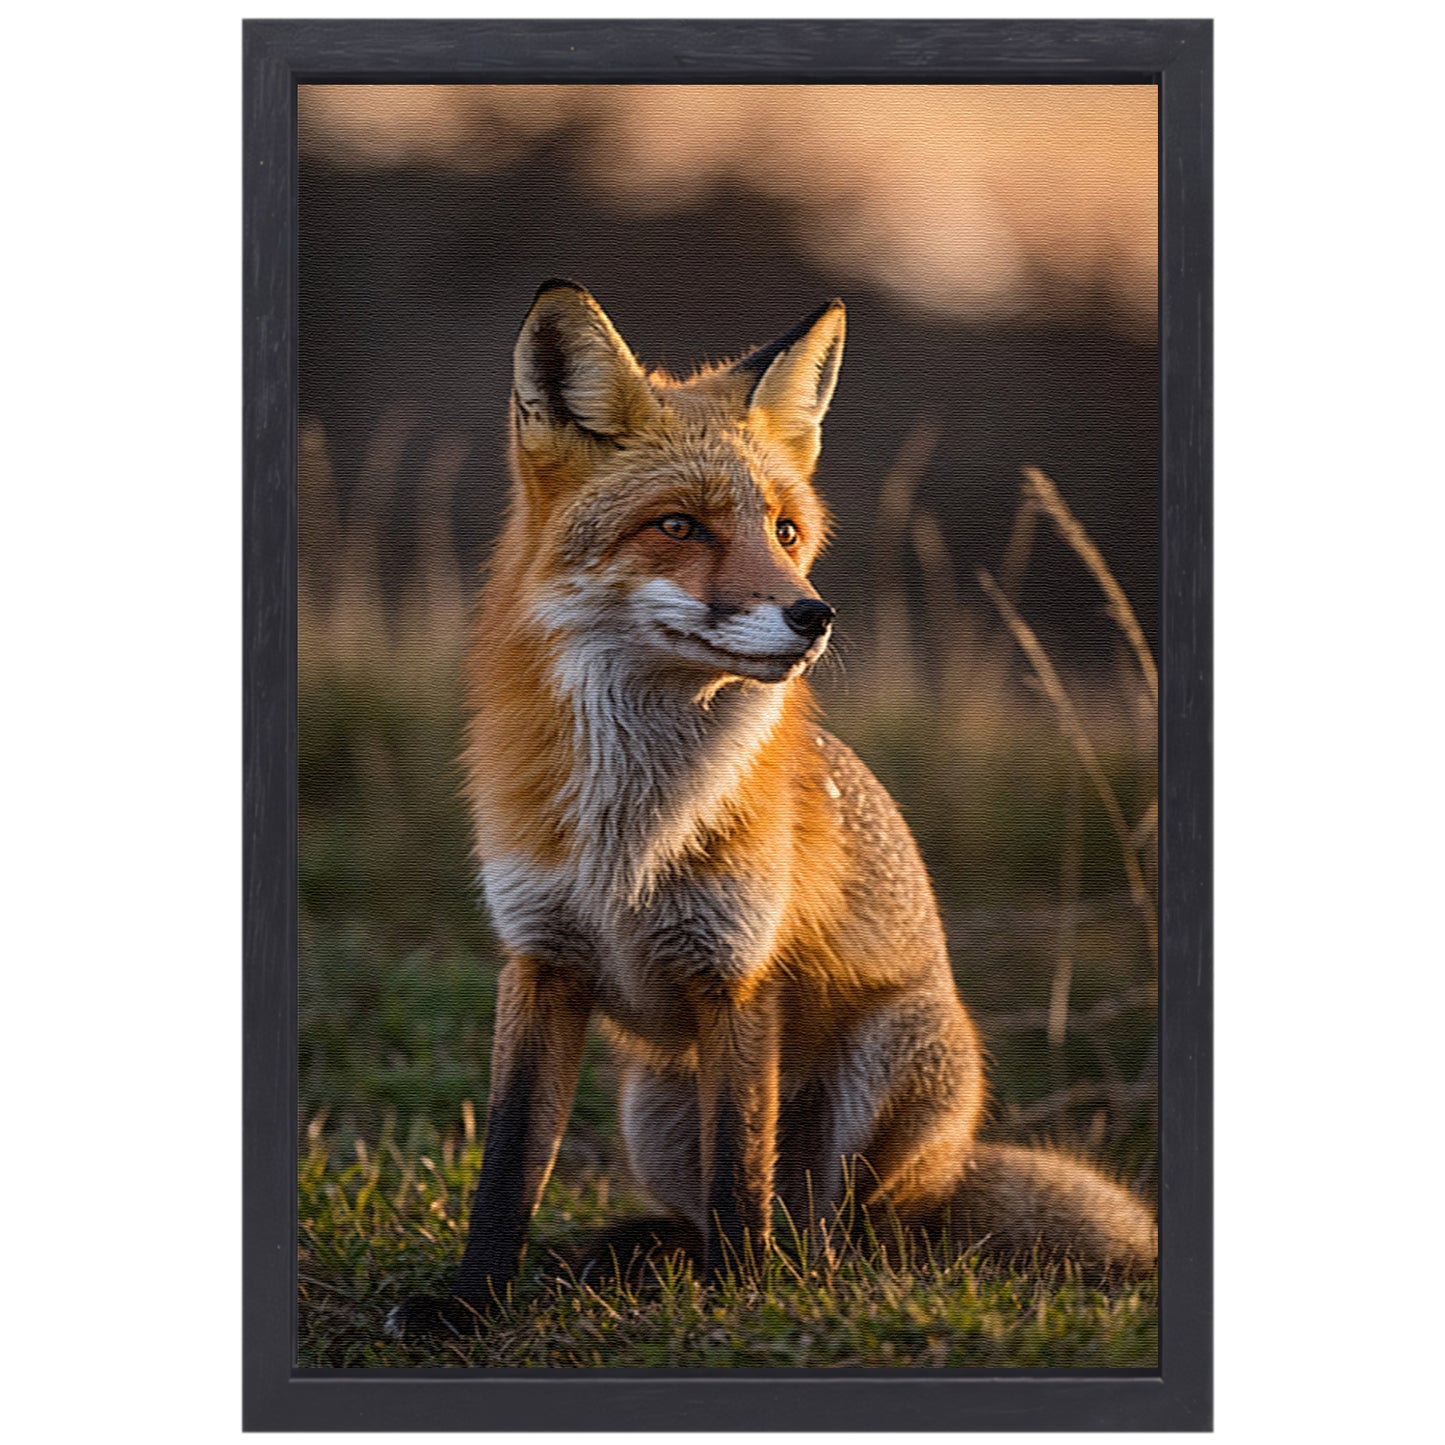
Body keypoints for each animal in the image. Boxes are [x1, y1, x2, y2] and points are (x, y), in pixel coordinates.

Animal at [384, 284, 1150, 1340]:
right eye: (678, 525)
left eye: (785, 531)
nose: (813, 615)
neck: (629, 830)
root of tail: (951, 1169)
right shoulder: (539, 962)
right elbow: (508, 1164)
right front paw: (472, 1303)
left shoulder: (736, 975)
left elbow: (737, 1172)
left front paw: (739, 1301)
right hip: (651, 1103)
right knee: (703, 1213)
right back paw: (634, 1255)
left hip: (879, 1080)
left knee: (835, 1232)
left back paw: (783, 1270)